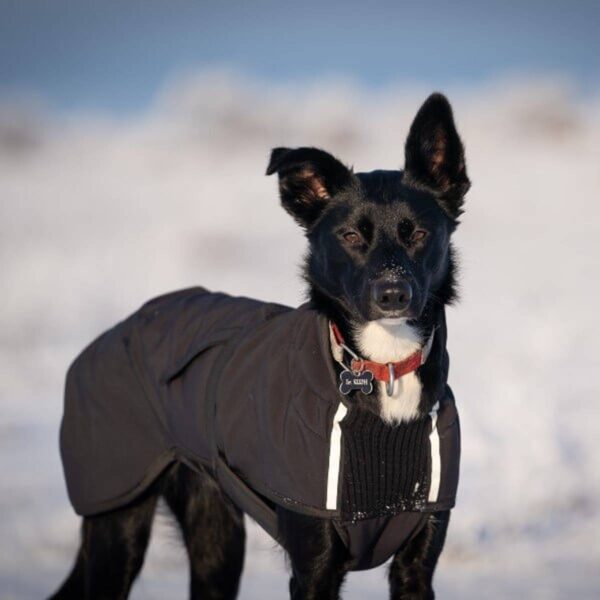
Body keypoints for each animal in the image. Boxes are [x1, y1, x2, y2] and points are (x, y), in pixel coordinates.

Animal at [50, 94, 468, 600]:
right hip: (118, 516)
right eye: (351, 236)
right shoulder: (314, 565)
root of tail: (116, 330)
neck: (382, 369)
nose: (392, 294)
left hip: (216, 536)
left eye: (419, 234)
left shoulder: (417, 562)